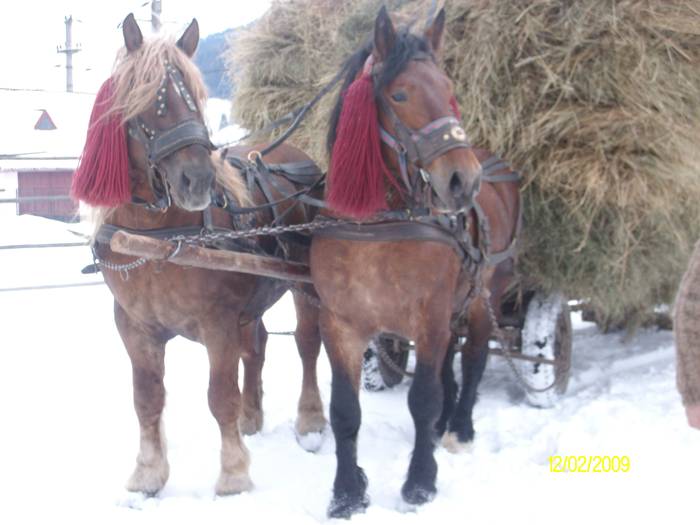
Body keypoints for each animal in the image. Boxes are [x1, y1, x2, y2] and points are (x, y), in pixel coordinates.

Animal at [71, 13, 326, 496]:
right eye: (149, 99)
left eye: (196, 100)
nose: (198, 180)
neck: (159, 237)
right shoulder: (135, 325)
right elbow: (146, 397)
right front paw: (148, 474)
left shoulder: (217, 321)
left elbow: (219, 396)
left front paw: (233, 475)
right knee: (257, 345)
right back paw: (252, 417)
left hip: (305, 286)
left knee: (307, 344)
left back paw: (311, 420)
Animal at [310, 7, 520, 516]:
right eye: (400, 94)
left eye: (449, 89)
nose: (464, 180)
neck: (377, 226)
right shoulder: (339, 323)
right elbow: (344, 409)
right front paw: (347, 492)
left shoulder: (430, 316)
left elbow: (423, 398)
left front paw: (420, 482)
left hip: (483, 298)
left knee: (475, 359)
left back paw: (459, 427)